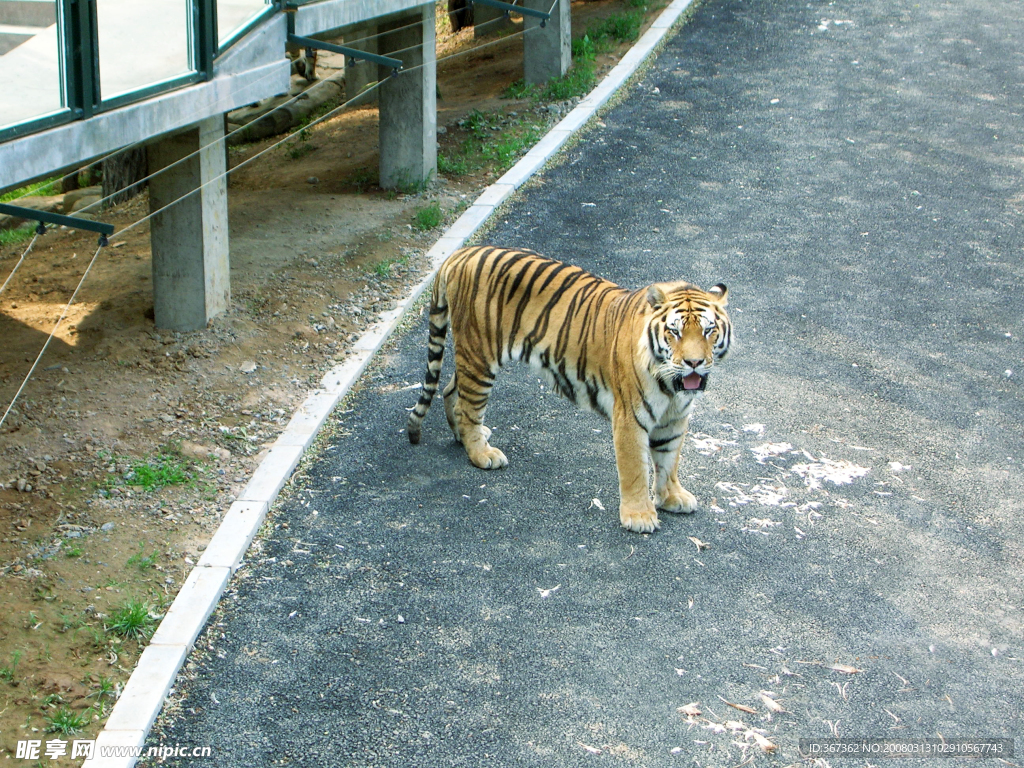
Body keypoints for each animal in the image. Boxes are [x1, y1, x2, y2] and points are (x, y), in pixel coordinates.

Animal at [403, 246, 733, 536]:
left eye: (708, 330)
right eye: (674, 331)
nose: (694, 363)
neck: (671, 386)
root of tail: (462, 253)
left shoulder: (675, 417)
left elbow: (669, 458)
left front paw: (671, 497)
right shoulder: (630, 417)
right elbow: (636, 469)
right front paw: (639, 516)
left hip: (473, 357)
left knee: (450, 391)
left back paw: (465, 436)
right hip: (480, 354)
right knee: (469, 405)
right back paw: (481, 453)